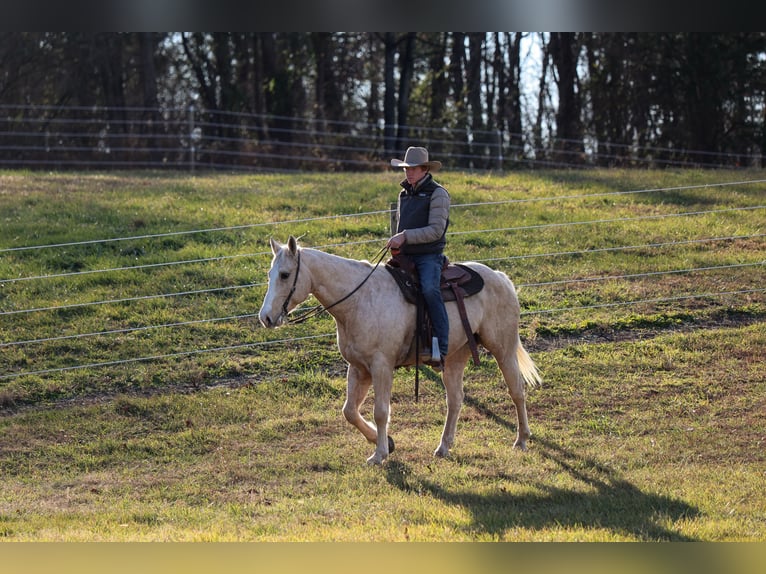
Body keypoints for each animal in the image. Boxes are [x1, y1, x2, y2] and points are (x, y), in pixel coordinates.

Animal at [258, 235, 542, 465]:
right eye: (270, 274)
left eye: (285, 275)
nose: (266, 318)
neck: (359, 300)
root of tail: (500, 277)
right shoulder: (358, 368)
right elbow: (349, 411)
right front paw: (385, 442)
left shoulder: (381, 366)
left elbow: (381, 411)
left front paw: (379, 454)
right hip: (455, 357)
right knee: (455, 399)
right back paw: (443, 447)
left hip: (503, 348)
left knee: (516, 390)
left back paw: (521, 440)